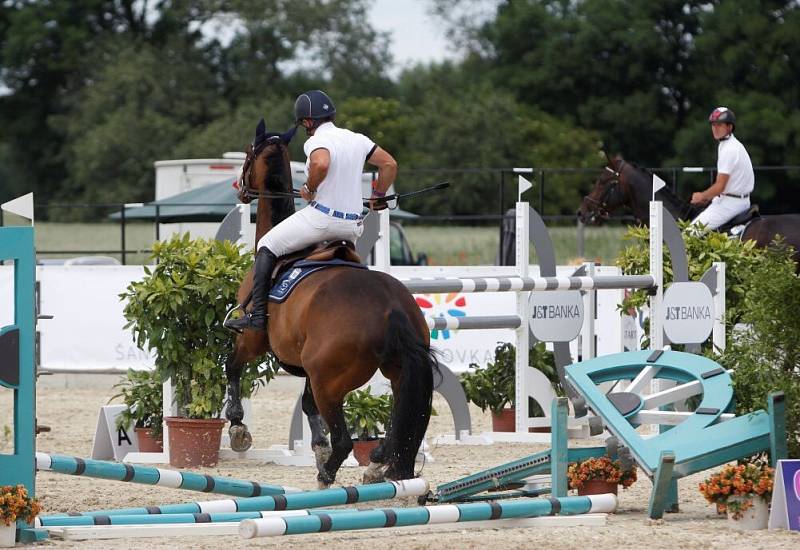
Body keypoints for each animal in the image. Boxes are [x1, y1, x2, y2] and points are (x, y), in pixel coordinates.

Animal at [223, 119, 438, 488]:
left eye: (249, 153)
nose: (239, 187)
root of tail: (390, 309)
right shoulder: (307, 366)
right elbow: (307, 407)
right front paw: (317, 446)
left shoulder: (253, 340)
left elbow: (232, 366)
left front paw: (238, 427)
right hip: (394, 373)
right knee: (393, 430)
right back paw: (374, 464)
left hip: (330, 382)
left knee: (346, 440)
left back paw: (327, 474)